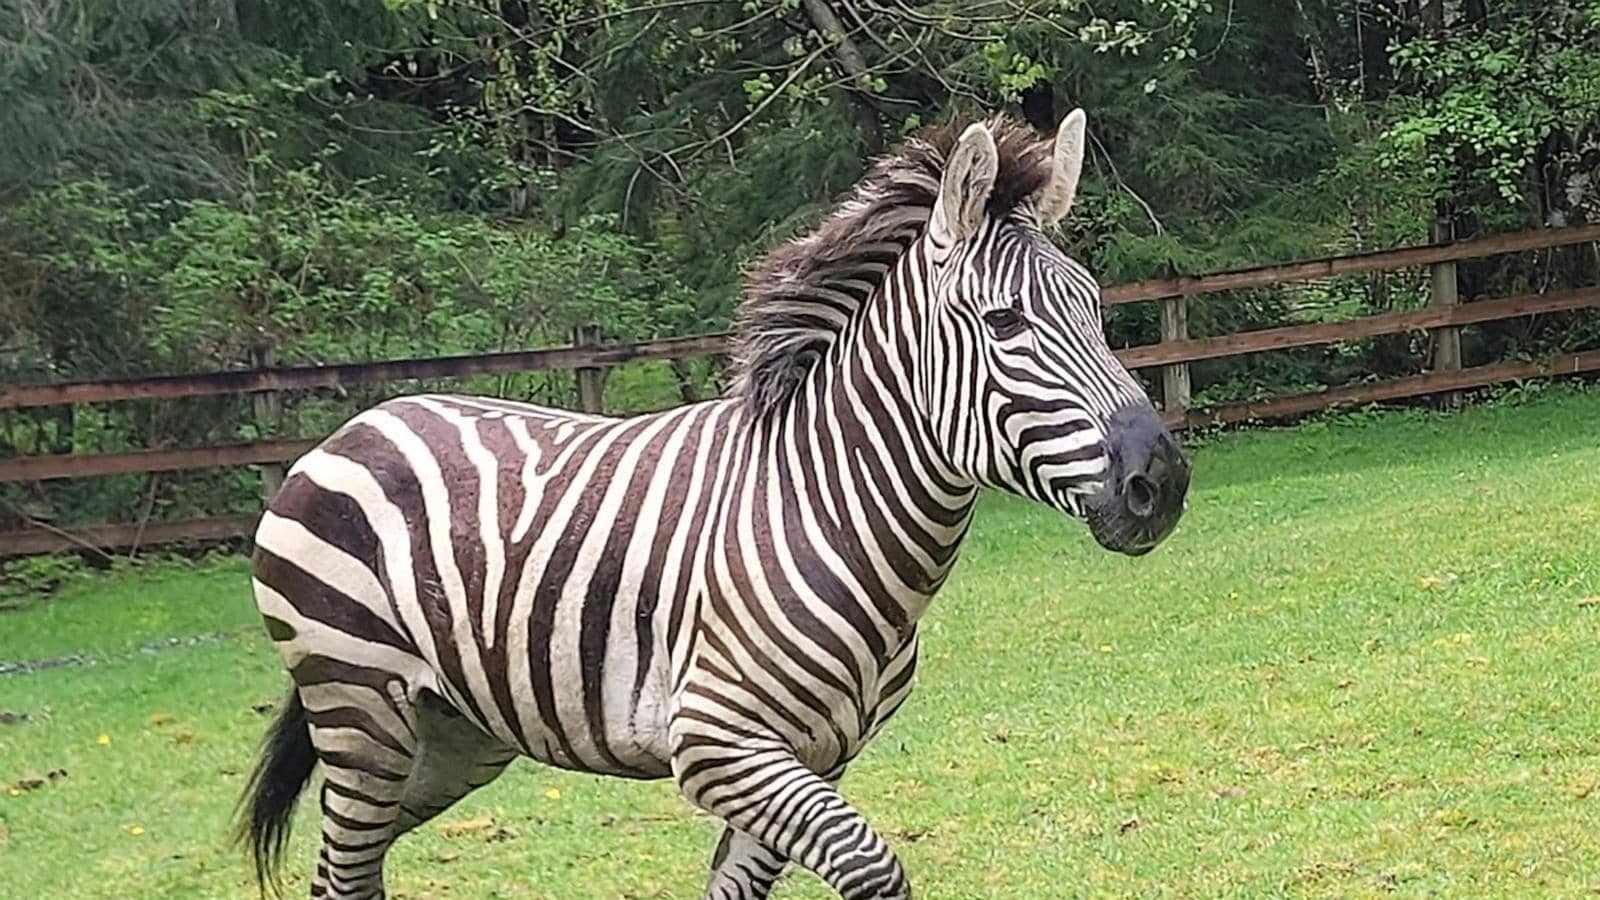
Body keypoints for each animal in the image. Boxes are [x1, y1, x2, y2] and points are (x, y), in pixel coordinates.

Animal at [240, 108, 1190, 890]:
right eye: (1004, 324)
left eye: (1095, 306)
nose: (1166, 481)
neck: (831, 514)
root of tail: (355, 425)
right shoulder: (716, 741)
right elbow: (872, 866)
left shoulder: (816, 756)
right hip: (359, 706)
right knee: (343, 866)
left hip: (451, 735)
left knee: (353, 863)